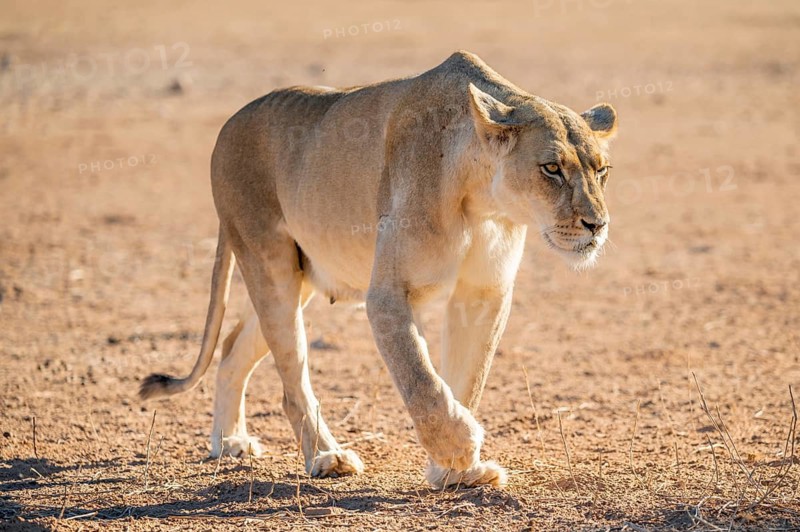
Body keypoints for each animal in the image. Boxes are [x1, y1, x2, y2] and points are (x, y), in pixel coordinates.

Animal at [139, 50, 617, 488]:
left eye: (602, 170)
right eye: (551, 168)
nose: (597, 225)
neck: (483, 200)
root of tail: (230, 122)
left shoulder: (484, 295)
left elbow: (468, 378)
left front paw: (455, 472)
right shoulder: (388, 293)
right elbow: (420, 377)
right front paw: (457, 446)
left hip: (299, 279)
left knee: (232, 346)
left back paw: (230, 442)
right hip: (268, 264)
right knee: (291, 379)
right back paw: (326, 456)